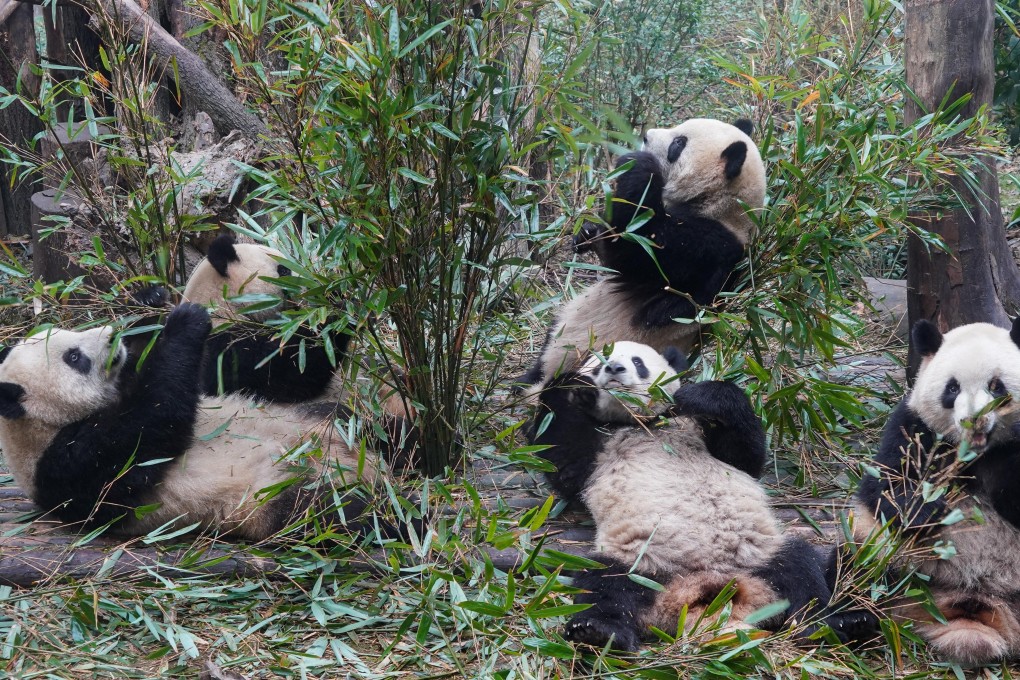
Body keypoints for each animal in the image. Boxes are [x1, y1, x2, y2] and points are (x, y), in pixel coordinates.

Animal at [0, 303, 406, 542]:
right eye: (73, 356)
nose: (114, 335)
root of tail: (369, 468)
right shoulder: (65, 468)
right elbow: (152, 425)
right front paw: (185, 320)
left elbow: (257, 374)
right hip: (274, 495)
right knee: (341, 515)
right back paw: (400, 518)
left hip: (326, 420)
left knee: (373, 426)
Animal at [517, 118, 766, 391]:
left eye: (679, 143)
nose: (646, 136)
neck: (726, 206)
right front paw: (586, 232)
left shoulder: (710, 245)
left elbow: (636, 246)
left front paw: (638, 164)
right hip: (567, 319)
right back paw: (523, 381)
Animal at [530, 340, 849, 650]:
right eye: (597, 364)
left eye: (637, 361)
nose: (614, 368)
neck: (641, 424)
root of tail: (699, 592)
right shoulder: (599, 446)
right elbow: (563, 463)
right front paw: (573, 386)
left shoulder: (693, 427)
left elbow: (745, 454)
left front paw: (701, 395)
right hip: (638, 562)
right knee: (605, 584)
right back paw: (598, 632)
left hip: (762, 555)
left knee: (801, 572)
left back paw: (827, 626)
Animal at [854, 317, 1020, 665]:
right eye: (952, 387)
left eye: (996, 386)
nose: (973, 420)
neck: (972, 454)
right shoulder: (913, 427)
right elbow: (885, 487)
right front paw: (931, 509)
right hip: (889, 560)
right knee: (848, 568)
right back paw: (850, 620)